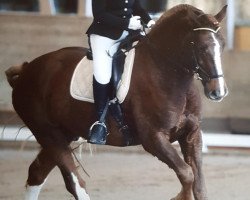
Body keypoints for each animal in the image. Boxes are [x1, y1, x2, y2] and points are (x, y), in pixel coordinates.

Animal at [5, 4, 229, 200]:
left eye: (223, 45)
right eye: (201, 47)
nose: (218, 91)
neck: (166, 72)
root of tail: (27, 69)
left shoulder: (192, 134)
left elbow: (199, 185)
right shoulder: (154, 138)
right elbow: (187, 174)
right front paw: (180, 196)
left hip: (63, 134)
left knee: (37, 173)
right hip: (48, 134)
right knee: (75, 183)